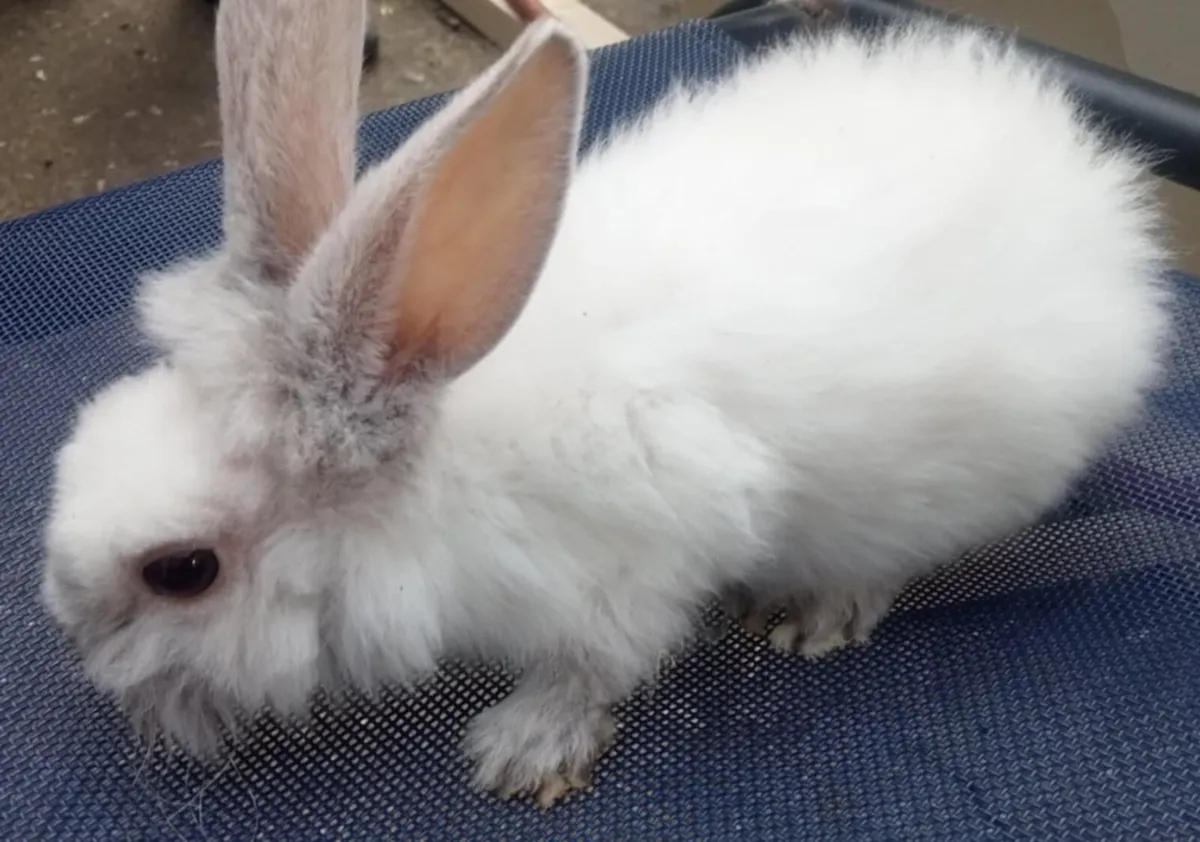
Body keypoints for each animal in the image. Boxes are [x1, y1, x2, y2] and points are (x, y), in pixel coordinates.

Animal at [42, 0, 1171, 809]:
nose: (76, 638)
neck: (439, 426)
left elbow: (595, 665)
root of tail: (1097, 190)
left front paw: (520, 749)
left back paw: (815, 611)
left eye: (182, 570)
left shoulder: (635, 568)